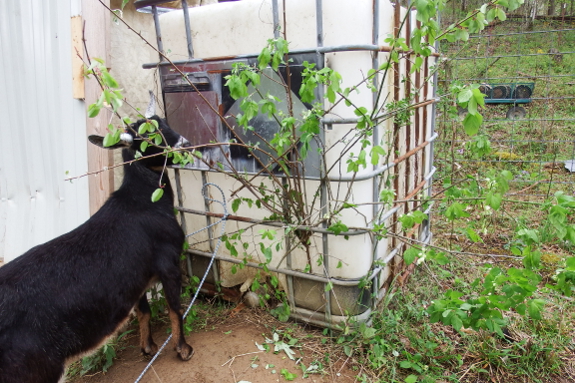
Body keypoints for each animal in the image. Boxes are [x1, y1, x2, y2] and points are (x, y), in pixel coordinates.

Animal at [0, 115, 195, 382]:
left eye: (163, 122)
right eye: (148, 138)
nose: (187, 146)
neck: (143, 201)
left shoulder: (136, 275)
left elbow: (143, 310)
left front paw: (148, 347)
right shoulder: (169, 262)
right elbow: (175, 307)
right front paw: (183, 349)